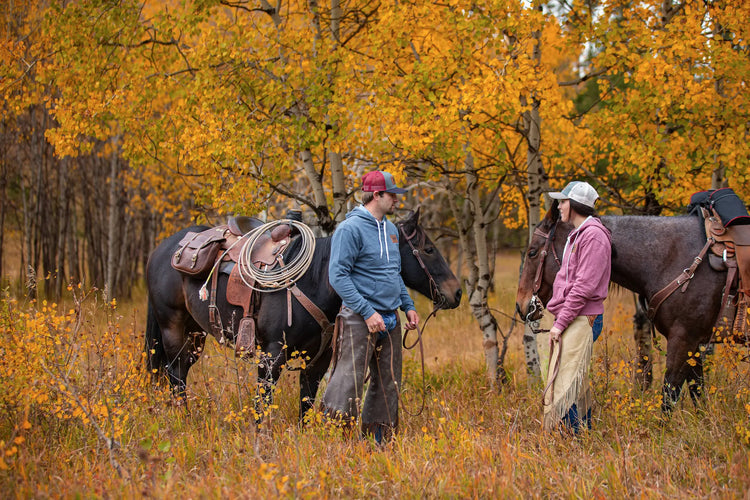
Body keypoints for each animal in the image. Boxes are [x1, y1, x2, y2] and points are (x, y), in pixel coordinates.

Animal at [145, 209, 462, 422]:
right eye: (428, 249)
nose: (457, 292)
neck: (316, 279)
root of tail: (163, 249)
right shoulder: (271, 354)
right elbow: (263, 403)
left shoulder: (318, 359)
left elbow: (306, 403)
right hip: (172, 327)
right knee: (174, 372)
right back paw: (183, 417)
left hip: (195, 334)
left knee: (180, 370)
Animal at [516, 207, 727, 413]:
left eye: (532, 252)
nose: (520, 305)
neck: (672, 261)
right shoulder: (693, 343)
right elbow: (697, 392)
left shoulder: (683, 339)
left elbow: (669, 397)